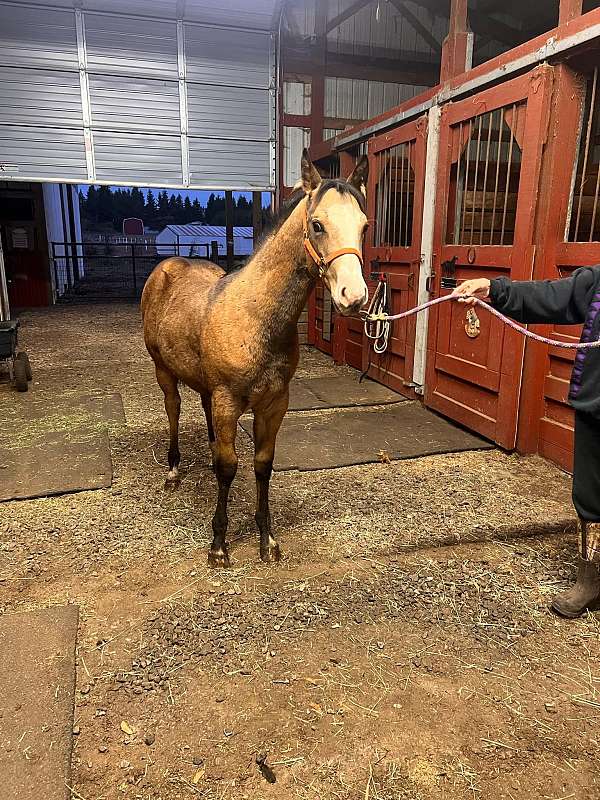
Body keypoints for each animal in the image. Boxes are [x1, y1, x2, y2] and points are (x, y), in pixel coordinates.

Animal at [143, 152, 368, 568]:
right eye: (317, 225)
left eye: (364, 226)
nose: (353, 296)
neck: (254, 316)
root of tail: (168, 267)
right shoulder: (228, 400)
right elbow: (228, 467)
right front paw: (218, 545)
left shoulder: (274, 403)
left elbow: (262, 464)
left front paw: (268, 539)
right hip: (164, 371)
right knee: (174, 409)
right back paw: (173, 471)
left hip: (206, 387)